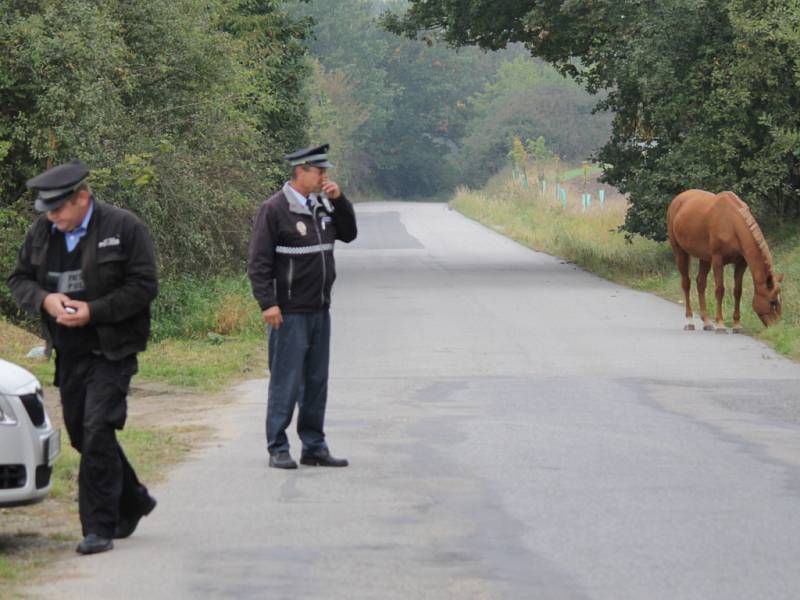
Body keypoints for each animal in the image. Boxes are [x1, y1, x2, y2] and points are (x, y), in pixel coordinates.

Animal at [664, 190, 784, 332]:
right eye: (772, 302)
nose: (777, 328)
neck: (731, 223)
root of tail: (678, 199)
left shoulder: (741, 263)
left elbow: (737, 291)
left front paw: (737, 325)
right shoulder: (717, 260)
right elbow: (720, 290)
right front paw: (720, 324)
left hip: (705, 258)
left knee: (700, 282)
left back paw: (707, 322)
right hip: (680, 251)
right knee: (686, 283)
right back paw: (689, 321)